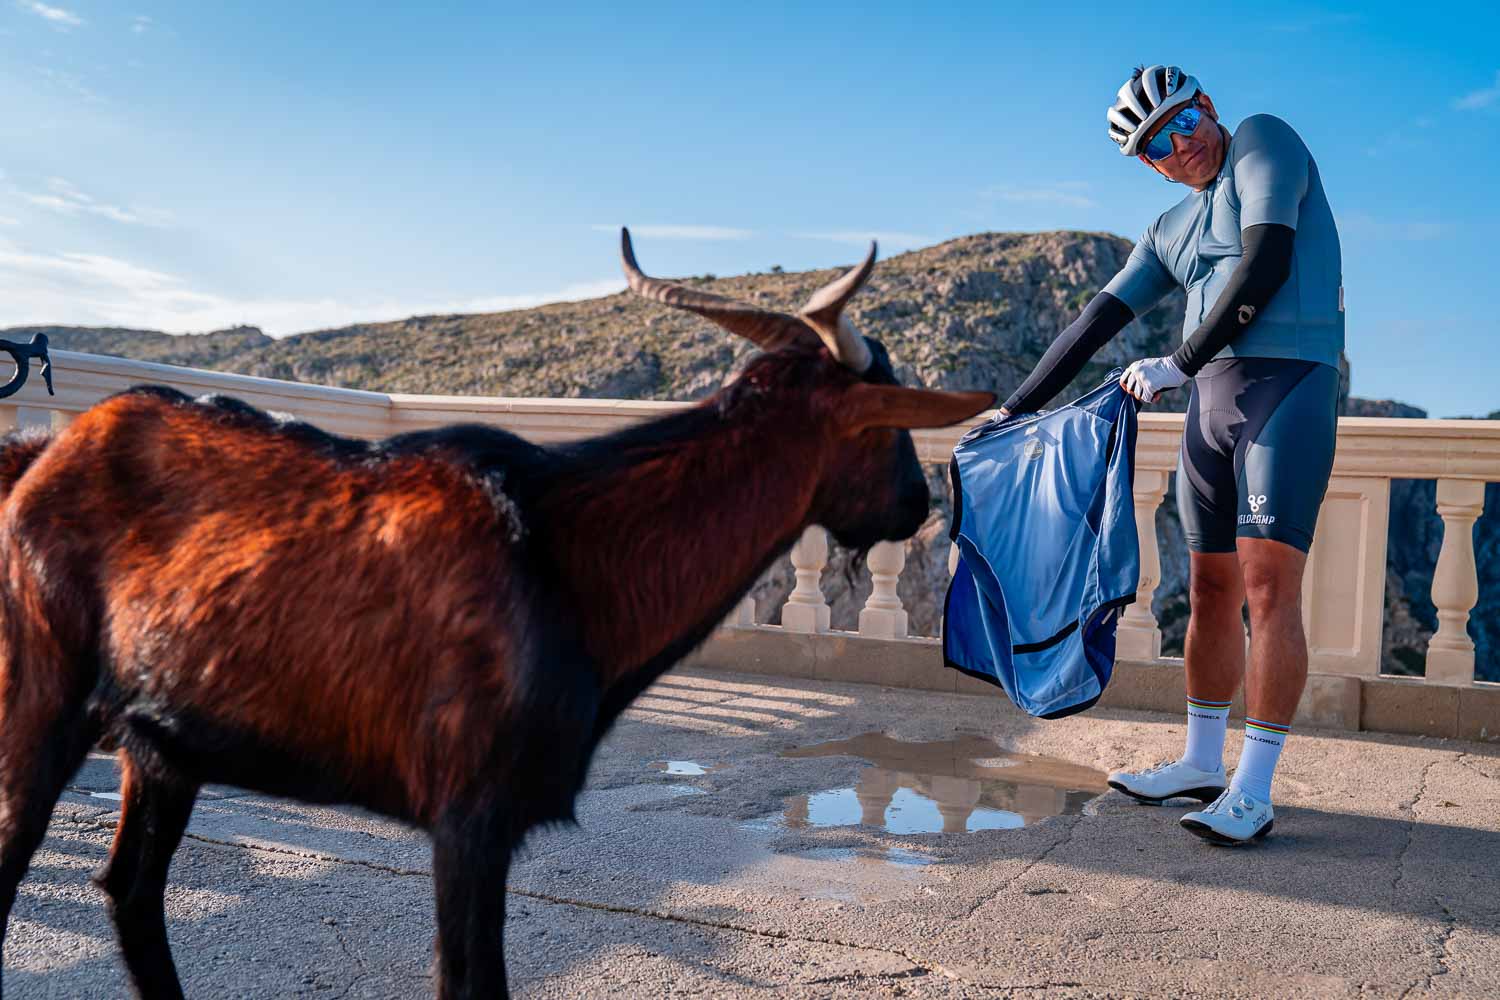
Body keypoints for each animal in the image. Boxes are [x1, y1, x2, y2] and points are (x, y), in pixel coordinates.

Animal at [0, 230, 991, 999]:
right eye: (887, 422)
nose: (917, 502)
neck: (570, 562)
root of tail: (43, 459)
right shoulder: (469, 809)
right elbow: (467, 982)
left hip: (163, 739)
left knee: (132, 888)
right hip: (41, 687)